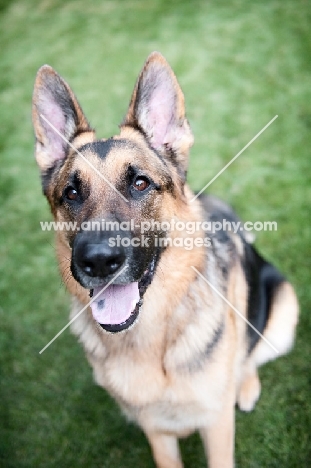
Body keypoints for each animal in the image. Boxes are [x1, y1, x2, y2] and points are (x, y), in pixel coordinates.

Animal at [32, 53, 300, 466]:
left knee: (251, 353)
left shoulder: (216, 426)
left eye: (140, 183)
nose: (98, 261)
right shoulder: (157, 433)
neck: (147, 339)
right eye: (72, 193)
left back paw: (245, 385)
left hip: (284, 310)